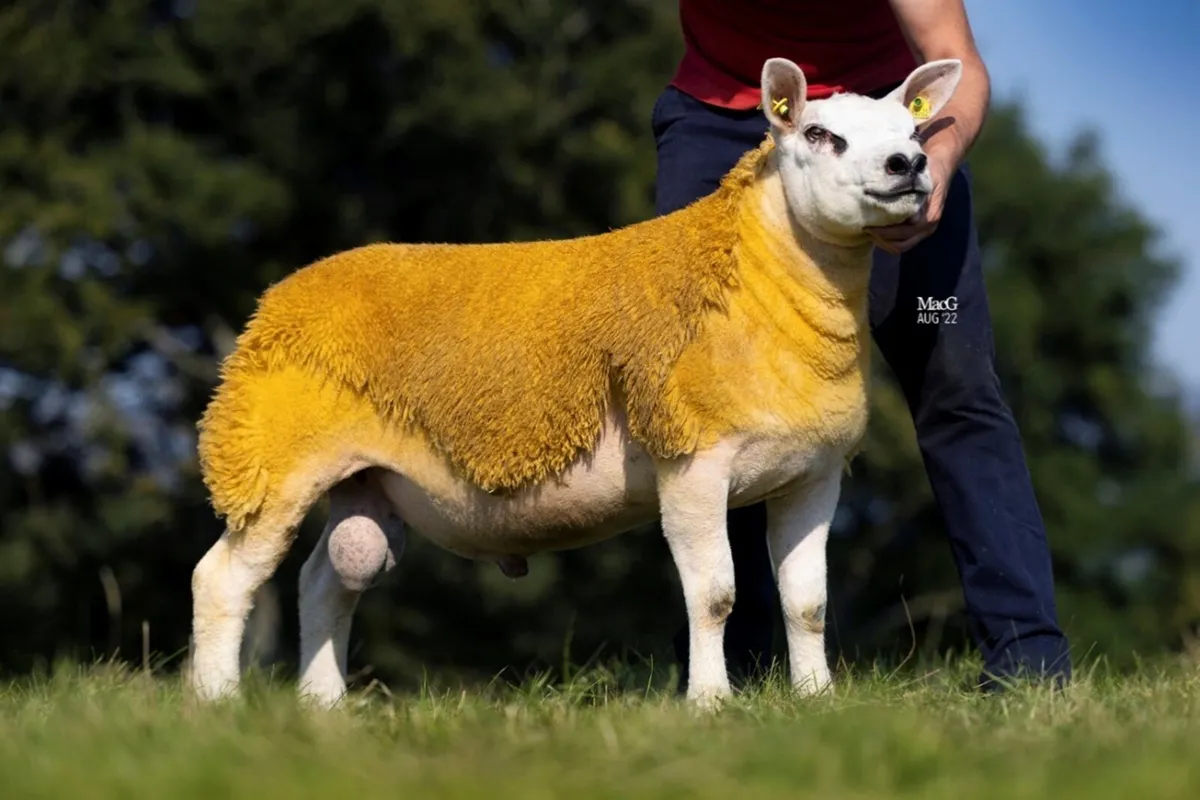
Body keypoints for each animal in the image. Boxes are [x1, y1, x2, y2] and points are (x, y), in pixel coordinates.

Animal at [189, 57, 963, 709]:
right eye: (819, 134)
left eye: (912, 130)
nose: (910, 165)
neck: (761, 286)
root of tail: (278, 299)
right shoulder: (691, 459)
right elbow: (715, 595)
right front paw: (711, 704)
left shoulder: (813, 473)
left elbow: (807, 603)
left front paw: (817, 702)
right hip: (272, 458)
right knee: (223, 579)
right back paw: (215, 703)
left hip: (366, 479)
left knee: (325, 582)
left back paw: (322, 707)